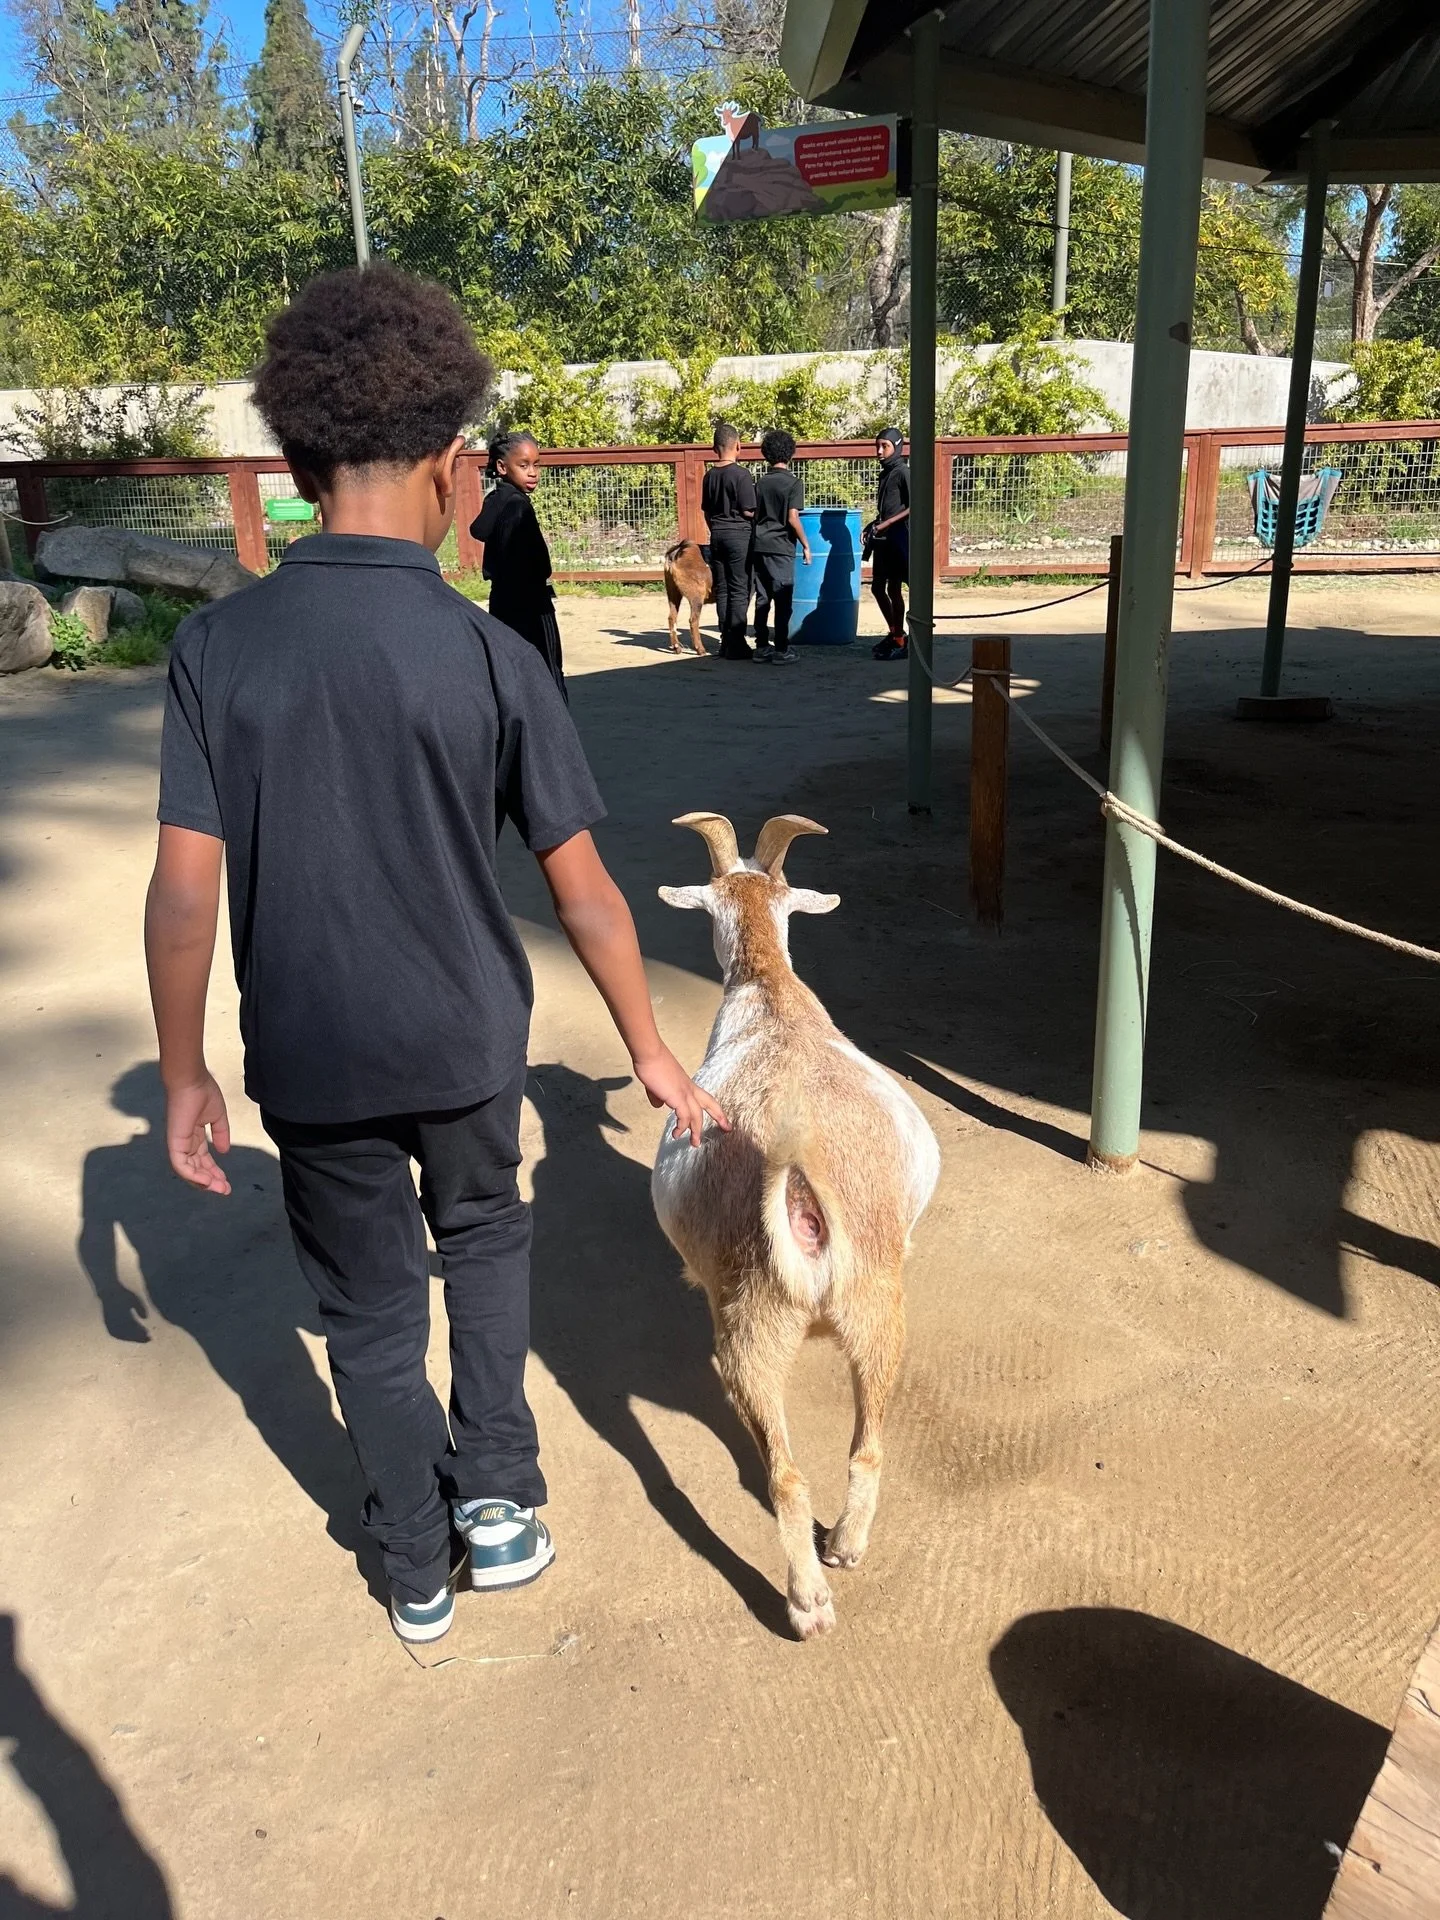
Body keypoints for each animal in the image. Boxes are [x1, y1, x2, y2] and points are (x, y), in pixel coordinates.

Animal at [651, 811, 940, 1638]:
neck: (768, 988)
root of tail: (802, 1180)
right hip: (878, 1305)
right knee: (866, 1448)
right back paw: (843, 1548)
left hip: (751, 1323)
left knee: (783, 1473)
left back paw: (808, 1600)